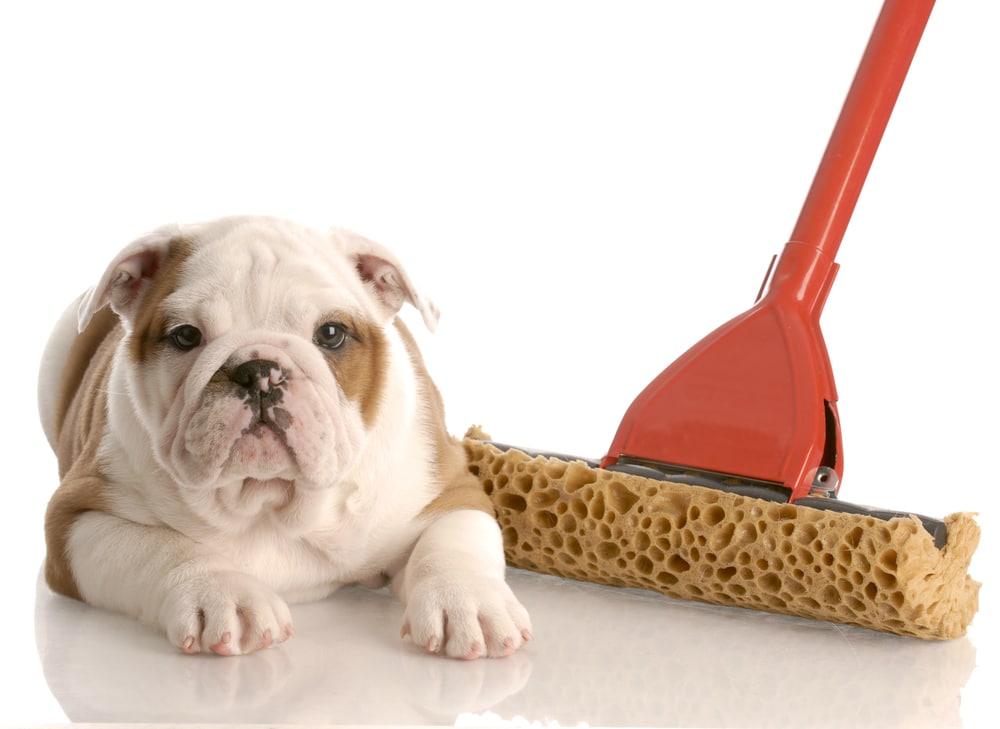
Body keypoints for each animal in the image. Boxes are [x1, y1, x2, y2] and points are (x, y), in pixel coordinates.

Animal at [37, 216, 532, 660]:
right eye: (185, 335)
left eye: (331, 333)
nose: (258, 370)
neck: (269, 500)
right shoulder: (76, 520)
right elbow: (162, 548)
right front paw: (222, 593)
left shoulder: (452, 490)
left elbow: (452, 544)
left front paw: (467, 603)